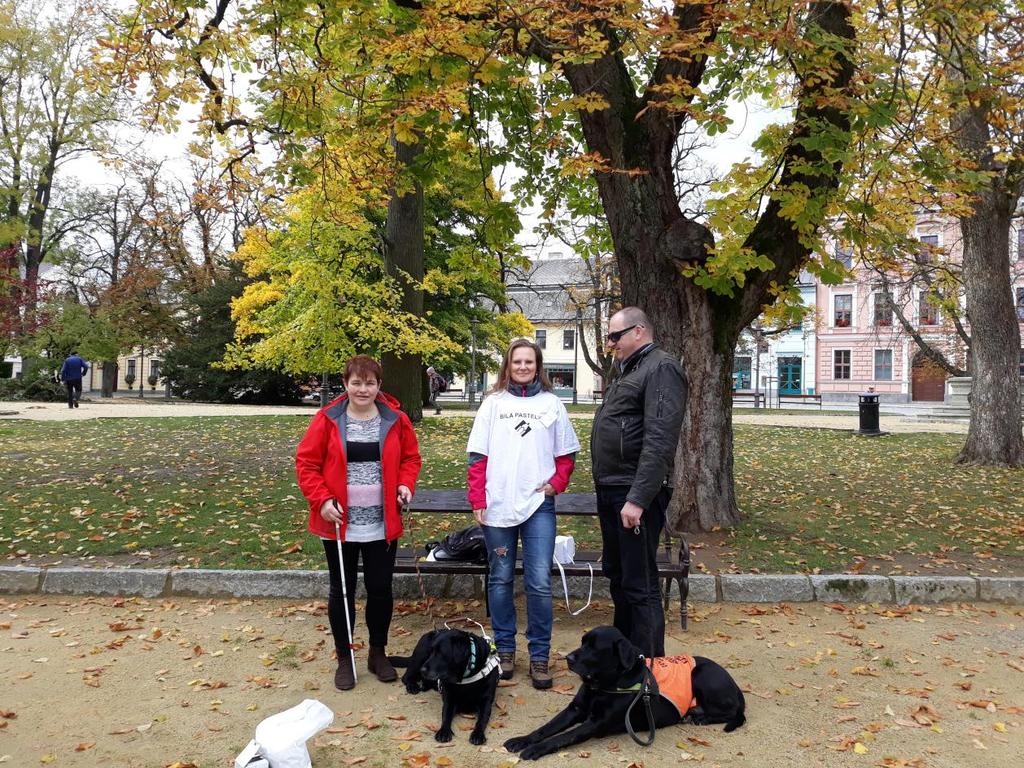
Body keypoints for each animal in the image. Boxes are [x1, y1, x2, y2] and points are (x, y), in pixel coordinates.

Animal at [501, 626, 745, 761]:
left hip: (701, 673)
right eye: (582, 642)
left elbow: (561, 737)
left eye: (594, 647)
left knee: (732, 712)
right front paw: (522, 740)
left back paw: (700, 717)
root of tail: (736, 686)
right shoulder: (575, 709)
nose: (568, 658)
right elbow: (547, 728)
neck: (603, 685)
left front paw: (536, 749)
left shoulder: (596, 723)